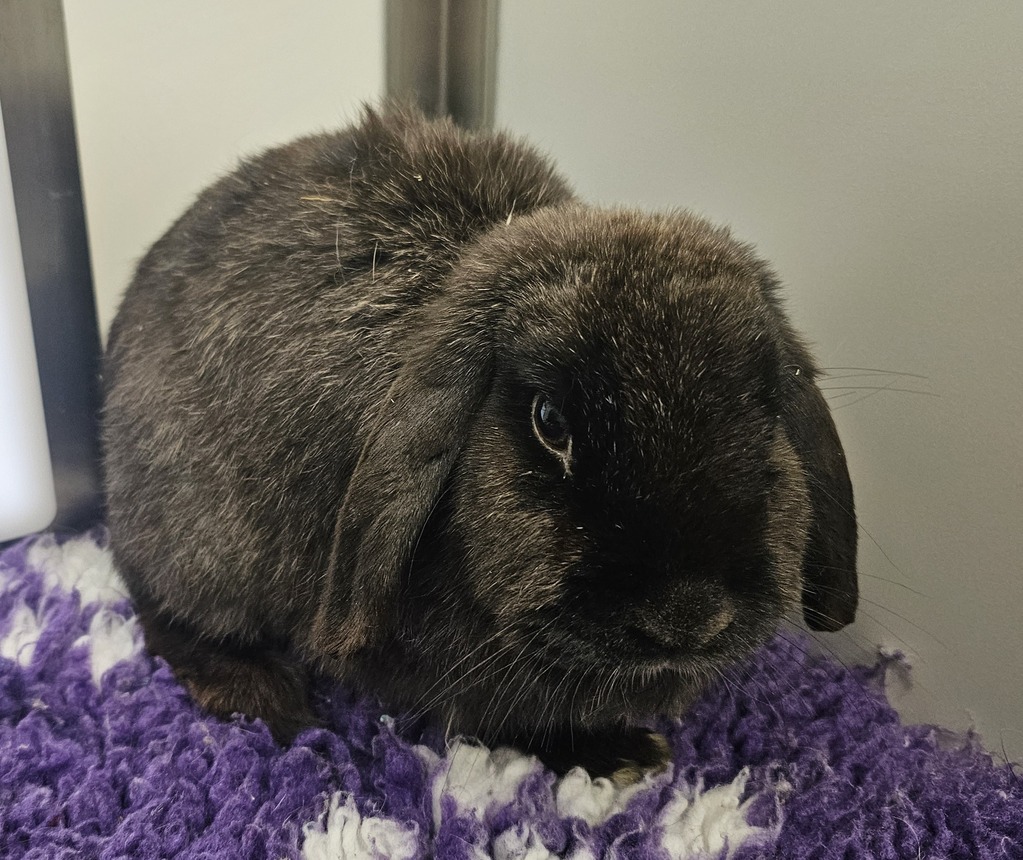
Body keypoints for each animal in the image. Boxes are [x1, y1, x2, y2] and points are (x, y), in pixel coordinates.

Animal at [102, 105, 857, 782]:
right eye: (550, 421)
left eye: (766, 408)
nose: (688, 617)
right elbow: (496, 720)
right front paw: (620, 754)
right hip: (201, 545)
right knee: (162, 614)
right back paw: (262, 695)